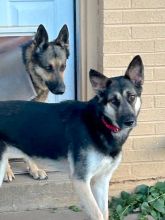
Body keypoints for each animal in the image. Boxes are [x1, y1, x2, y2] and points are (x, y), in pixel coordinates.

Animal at [0, 55, 143, 220]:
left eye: (132, 97)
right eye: (113, 101)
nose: (130, 121)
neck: (100, 122)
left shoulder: (101, 180)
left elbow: (105, 213)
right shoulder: (81, 180)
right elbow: (98, 214)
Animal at [4, 23, 69, 182]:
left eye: (63, 67)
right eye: (48, 67)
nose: (61, 91)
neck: (28, 70)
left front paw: (34, 169)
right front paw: (6, 171)